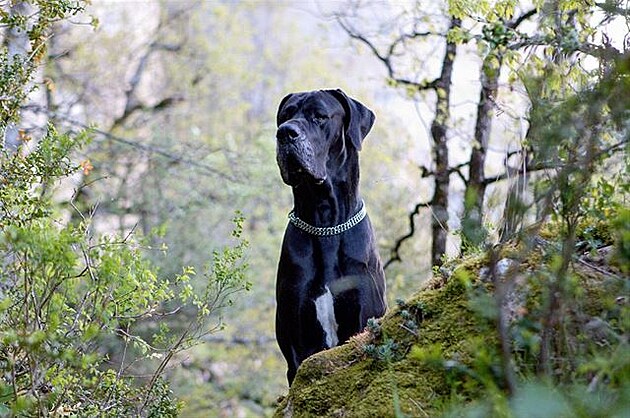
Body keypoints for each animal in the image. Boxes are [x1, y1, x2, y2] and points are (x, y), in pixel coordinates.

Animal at [276, 89, 388, 386]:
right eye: (285, 115)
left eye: (319, 116)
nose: (285, 132)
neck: (324, 222)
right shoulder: (295, 341)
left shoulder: (362, 317)